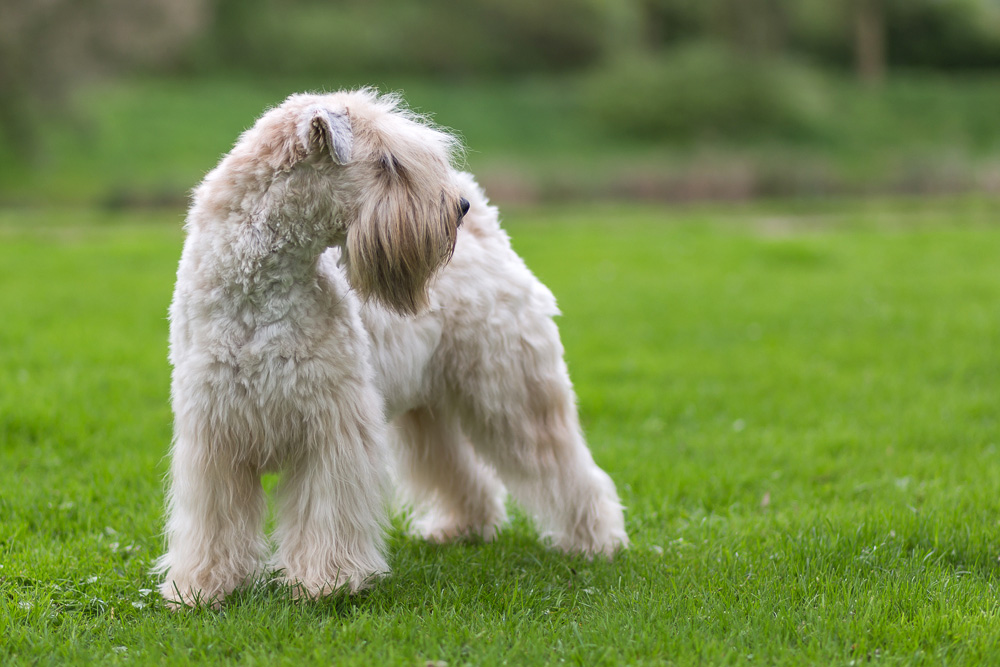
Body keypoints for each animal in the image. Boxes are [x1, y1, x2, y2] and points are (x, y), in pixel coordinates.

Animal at [154, 90, 624, 612]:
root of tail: (491, 238)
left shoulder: (331, 428)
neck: (259, 292)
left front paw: (326, 582)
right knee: (461, 472)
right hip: (428, 412)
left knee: (567, 469)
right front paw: (202, 587)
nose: (458, 207)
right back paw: (461, 528)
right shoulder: (214, 438)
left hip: (514, 396)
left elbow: (328, 514)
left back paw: (595, 542)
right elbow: (213, 525)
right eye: (387, 162)